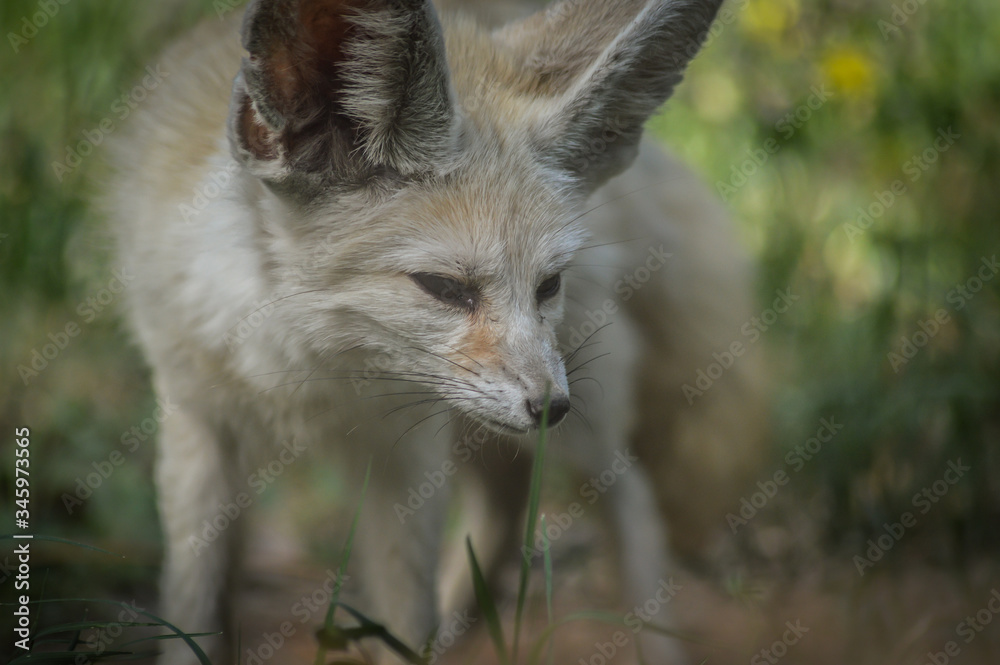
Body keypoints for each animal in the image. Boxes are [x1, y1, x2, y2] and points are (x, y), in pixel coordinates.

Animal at [107, 0, 764, 660]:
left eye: (548, 284)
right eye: (444, 288)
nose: (550, 407)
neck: (309, 369)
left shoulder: (408, 451)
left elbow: (403, 610)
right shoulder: (197, 422)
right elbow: (196, 601)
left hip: (580, 422)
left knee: (631, 501)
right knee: (509, 498)